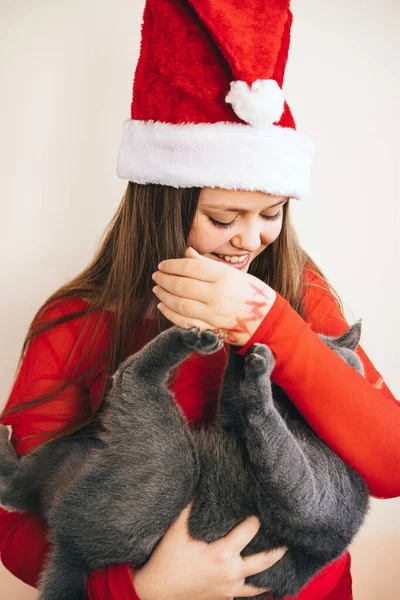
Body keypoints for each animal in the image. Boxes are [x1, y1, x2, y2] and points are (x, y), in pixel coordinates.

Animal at [0, 322, 368, 600]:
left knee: (132, 375)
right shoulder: (231, 422)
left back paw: (192, 338)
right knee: (15, 489)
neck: (292, 417)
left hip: (169, 467)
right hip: (74, 450)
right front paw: (243, 349)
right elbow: (233, 400)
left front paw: (259, 367)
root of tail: (70, 550)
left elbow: (277, 446)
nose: (285, 356)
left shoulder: (309, 498)